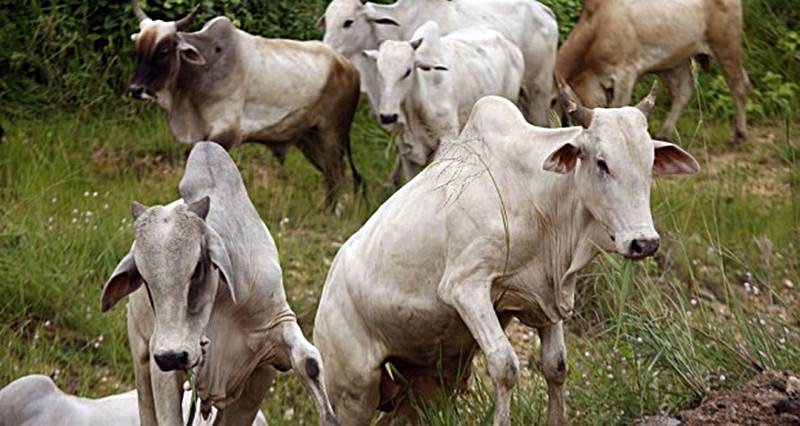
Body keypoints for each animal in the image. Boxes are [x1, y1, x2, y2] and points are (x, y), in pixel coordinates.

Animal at [100, 142, 339, 426]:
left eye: (197, 268)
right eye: (144, 279)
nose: (172, 356)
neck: (224, 300)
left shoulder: (272, 340)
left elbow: (309, 362)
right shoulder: (161, 362)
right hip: (141, 356)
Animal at [128, 0, 363, 206]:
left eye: (163, 50)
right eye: (138, 49)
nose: (136, 89)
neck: (200, 73)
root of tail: (348, 66)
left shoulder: (225, 133)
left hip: (332, 134)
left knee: (337, 175)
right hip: (309, 138)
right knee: (330, 176)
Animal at [313, 87, 699, 425]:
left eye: (649, 164)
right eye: (602, 163)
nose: (644, 242)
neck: (537, 196)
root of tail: (326, 297)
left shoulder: (546, 296)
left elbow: (556, 366)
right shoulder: (466, 287)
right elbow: (505, 366)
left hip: (430, 380)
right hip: (352, 390)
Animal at [362, 20, 524, 185]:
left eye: (407, 71)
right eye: (379, 72)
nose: (388, 116)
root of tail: (511, 46)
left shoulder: (447, 141)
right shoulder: (406, 153)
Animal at [556, 0, 749, 145]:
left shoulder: (625, 73)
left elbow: (619, 108)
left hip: (726, 46)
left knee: (738, 85)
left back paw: (739, 134)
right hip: (673, 60)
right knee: (684, 92)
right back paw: (663, 133)